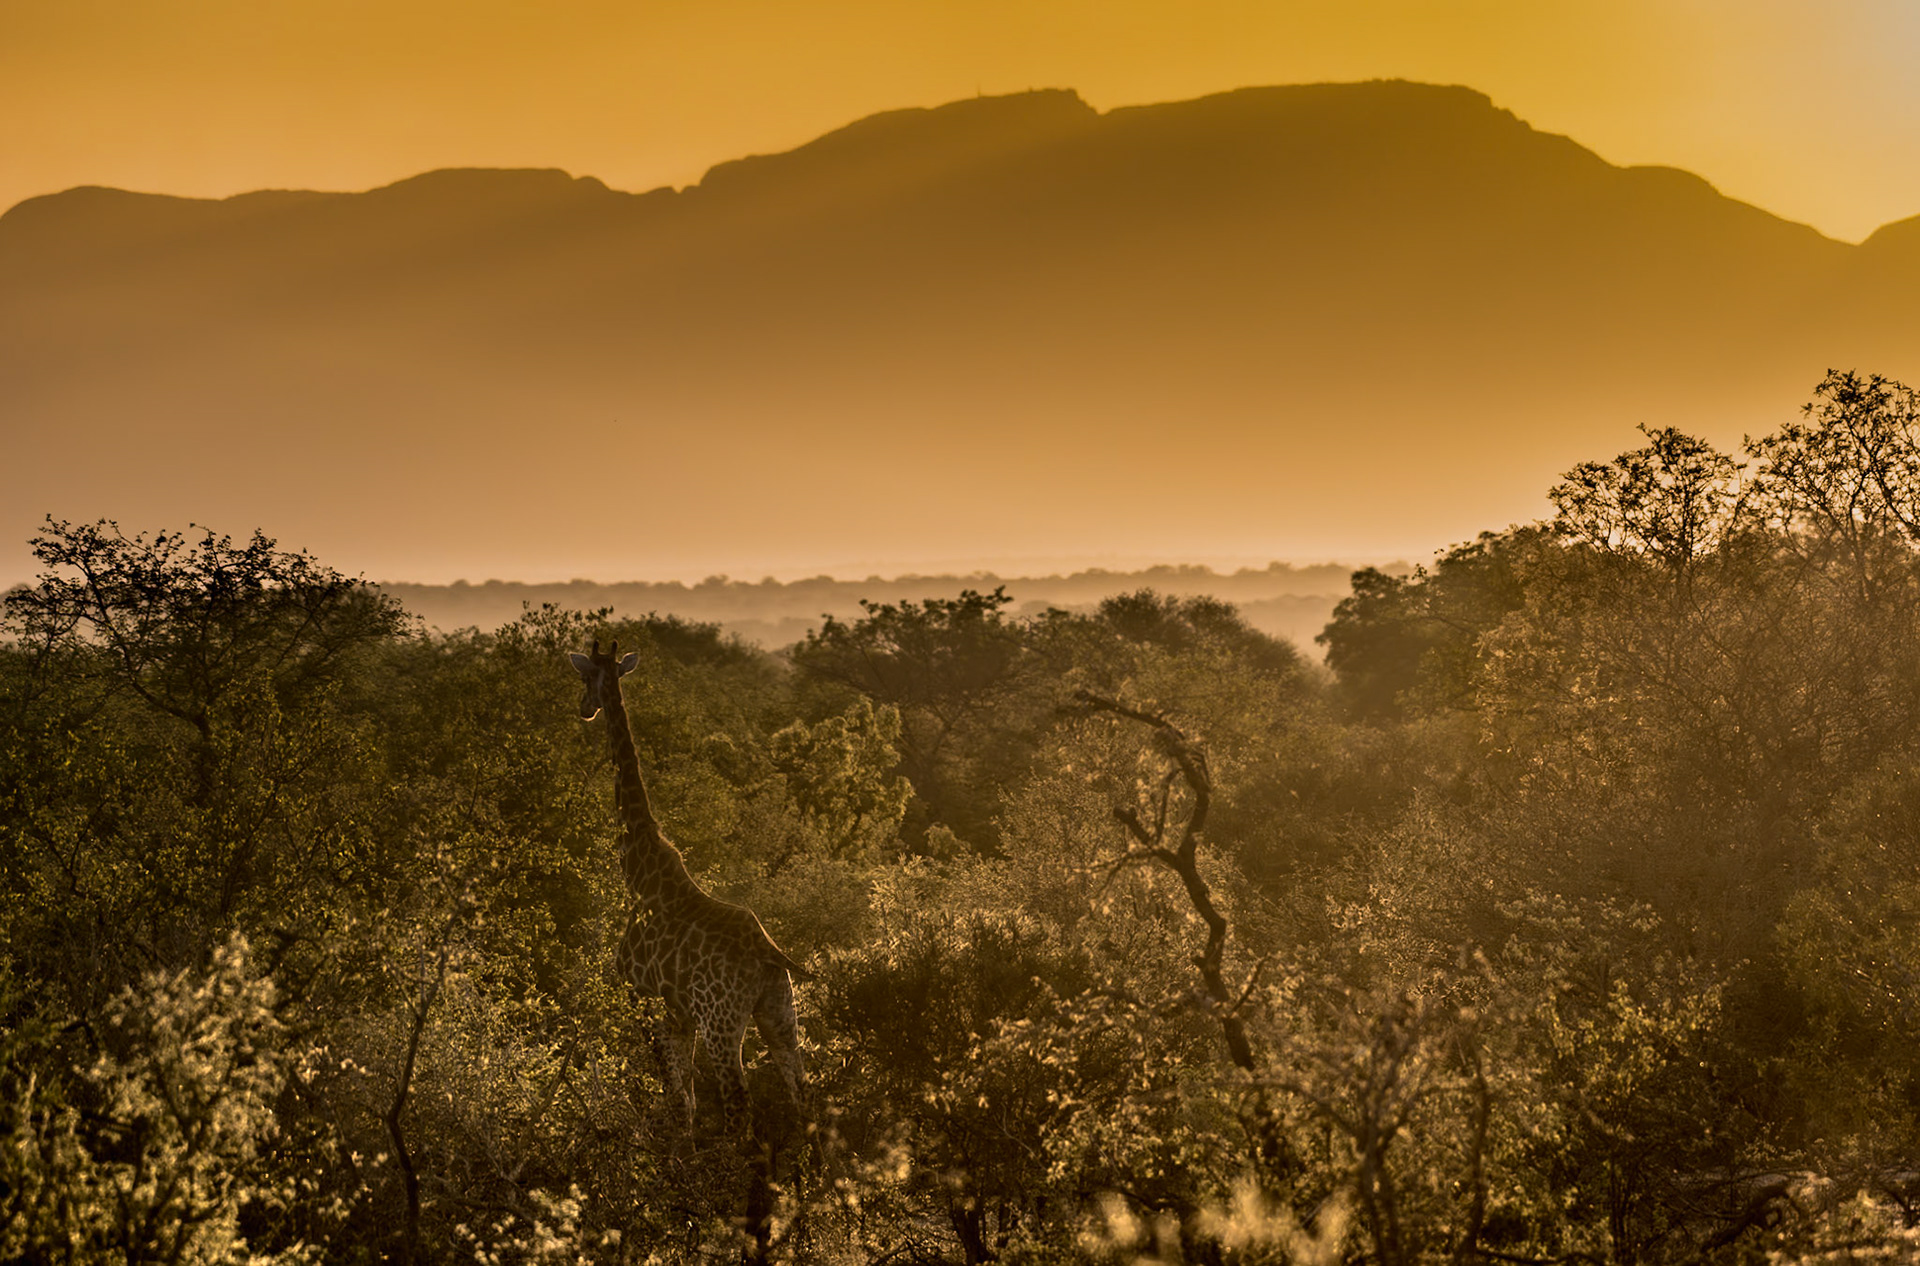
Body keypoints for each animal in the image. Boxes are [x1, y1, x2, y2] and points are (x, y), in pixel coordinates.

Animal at [569, 638, 807, 1133]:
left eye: (584, 676)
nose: (584, 709)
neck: (640, 872)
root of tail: (770, 953)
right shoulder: (680, 1012)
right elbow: (690, 1101)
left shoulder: (642, 997)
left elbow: (675, 1096)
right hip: (780, 1014)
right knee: (803, 1097)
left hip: (722, 1020)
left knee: (738, 1103)